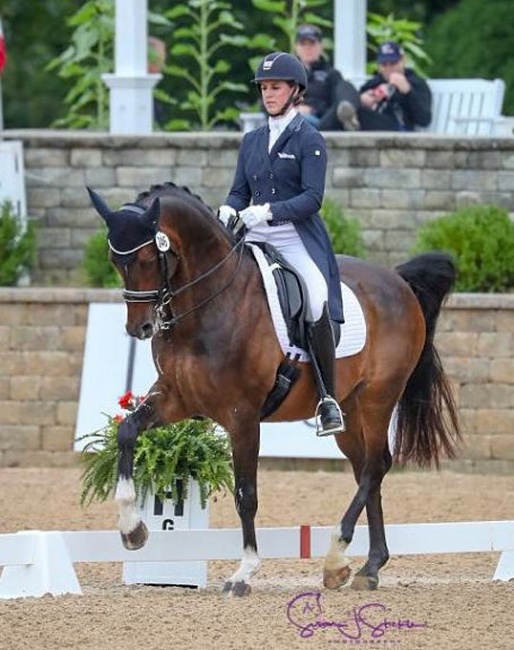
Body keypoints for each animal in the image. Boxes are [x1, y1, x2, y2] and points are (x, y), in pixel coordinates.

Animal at [86, 181, 458, 592]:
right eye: (115, 260)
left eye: (150, 258)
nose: (140, 328)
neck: (208, 305)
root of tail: (397, 280)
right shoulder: (175, 397)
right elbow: (127, 432)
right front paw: (132, 529)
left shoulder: (243, 415)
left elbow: (246, 494)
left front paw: (244, 571)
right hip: (349, 409)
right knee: (367, 470)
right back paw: (368, 566)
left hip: (379, 396)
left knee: (377, 465)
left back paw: (337, 553)